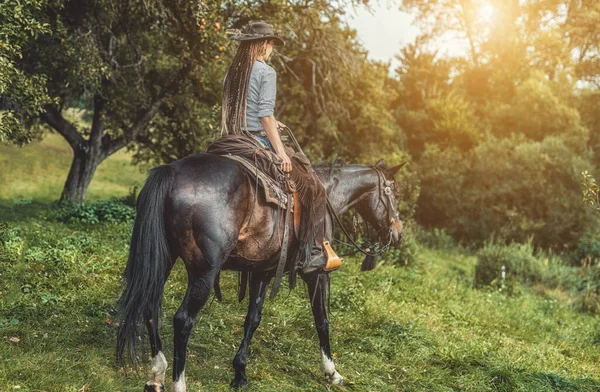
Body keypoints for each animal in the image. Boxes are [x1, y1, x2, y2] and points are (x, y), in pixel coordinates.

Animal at [113, 154, 404, 392]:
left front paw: (240, 373)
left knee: (150, 307)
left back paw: (157, 374)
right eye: (393, 192)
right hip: (205, 271)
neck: (328, 195)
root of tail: (172, 172)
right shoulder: (317, 273)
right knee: (183, 320)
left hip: (164, 258)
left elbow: (252, 319)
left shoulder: (262, 272)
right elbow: (322, 321)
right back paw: (178, 383)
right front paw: (332, 373)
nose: (398, 233)